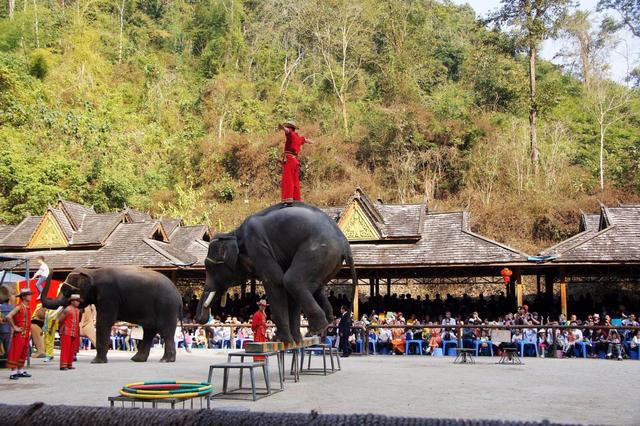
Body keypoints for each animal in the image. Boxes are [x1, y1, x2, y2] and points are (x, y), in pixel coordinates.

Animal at [41, 266, 184, 362]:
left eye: (66, 291)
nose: (51, 269)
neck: (92, 272)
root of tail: (178, 295)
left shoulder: (109, 295)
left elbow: (104, 322)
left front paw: (96, 362)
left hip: (167, 307)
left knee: (165, 332)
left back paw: (165, 360)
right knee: (150, 331)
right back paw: (137, 359)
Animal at [195, 201, 358, 344]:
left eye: (209, 267)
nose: (198, 320)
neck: (234, 233)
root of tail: (346, 244)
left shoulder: (258, 246)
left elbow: (275, 281)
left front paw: (282, 340)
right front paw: (290, 341)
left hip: (319, 251)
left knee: (292, 281)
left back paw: (315, 330)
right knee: (308, 287)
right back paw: (316, 328)